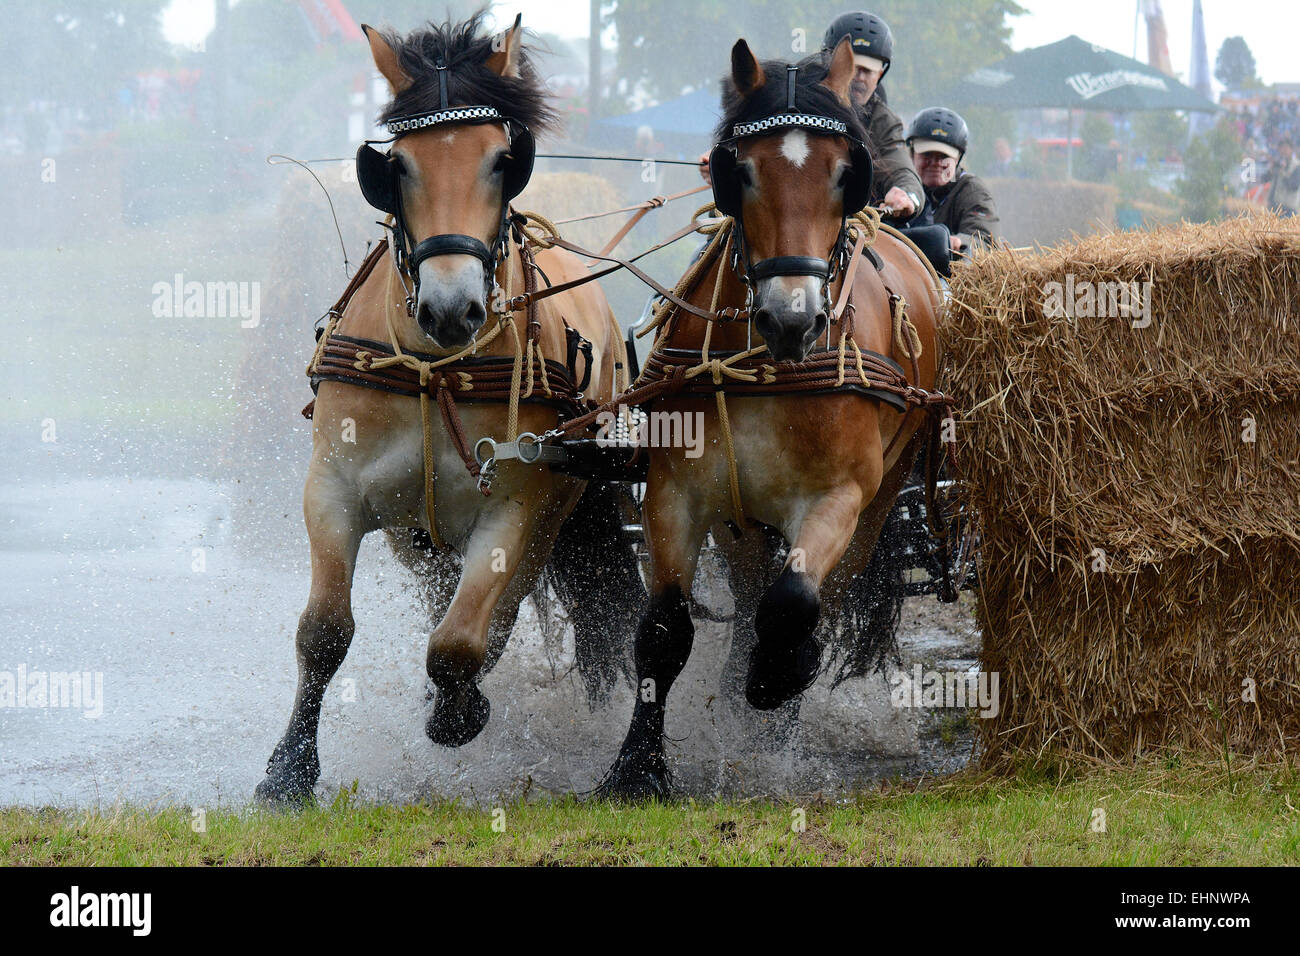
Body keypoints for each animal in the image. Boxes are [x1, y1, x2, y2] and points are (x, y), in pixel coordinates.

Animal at [255, 13, 642, 806]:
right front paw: (289, 768)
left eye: (502, 161)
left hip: (552, 514)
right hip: (418, 534)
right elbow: (324, 630)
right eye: (397, 166)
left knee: (493, 616)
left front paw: (458, 713)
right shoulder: (334, 488)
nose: (450, 308)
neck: (435, 370)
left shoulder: (517, 505)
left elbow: (464, 641)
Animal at [596, 37, 950, 798]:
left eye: (846, 173)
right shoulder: (681, 491)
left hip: (878, 502)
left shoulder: (837, 497)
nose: (793, 318)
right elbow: (663, 630)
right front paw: (638, 768)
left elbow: (792, 605)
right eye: (742, 171)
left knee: (820, 598)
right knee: (750, 589)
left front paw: (778, 681)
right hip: (740, 522)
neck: (771, 365)